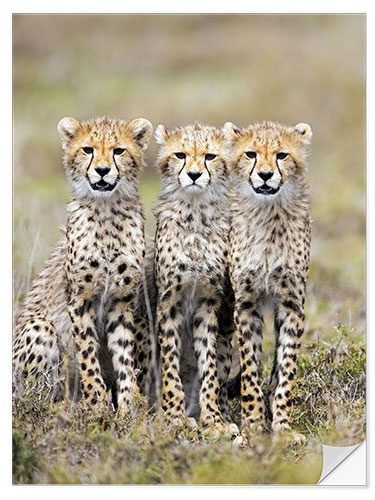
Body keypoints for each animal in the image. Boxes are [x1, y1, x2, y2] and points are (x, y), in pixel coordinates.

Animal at [12, 116, 154, 414]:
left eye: (119, 151)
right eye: (88, 149)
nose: (102, 171)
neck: (107, 210)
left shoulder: (121, 302)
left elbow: (124, 355)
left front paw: (129, 408)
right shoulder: (80, 298)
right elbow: (88, 352)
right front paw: (98, 404)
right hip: (39, 329)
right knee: (35, 398)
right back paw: (64, 407)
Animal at [154, 122, 236, 434]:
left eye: (210, 156)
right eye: (180, 154)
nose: (193, 174)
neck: (195, 213)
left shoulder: (207, 304)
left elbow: (209, 367)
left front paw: (214, 421)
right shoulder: (169, 303)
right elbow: (170, 363)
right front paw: (173, 417)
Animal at [225, 120, 312, 442]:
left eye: (282, 155)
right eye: (250, 154)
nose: (265, 175)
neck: (267, 212)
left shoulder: (291, 305)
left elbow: (286, 368)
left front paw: (283, 429)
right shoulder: (245, 306)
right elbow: (250, 372)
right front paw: (252, 429)